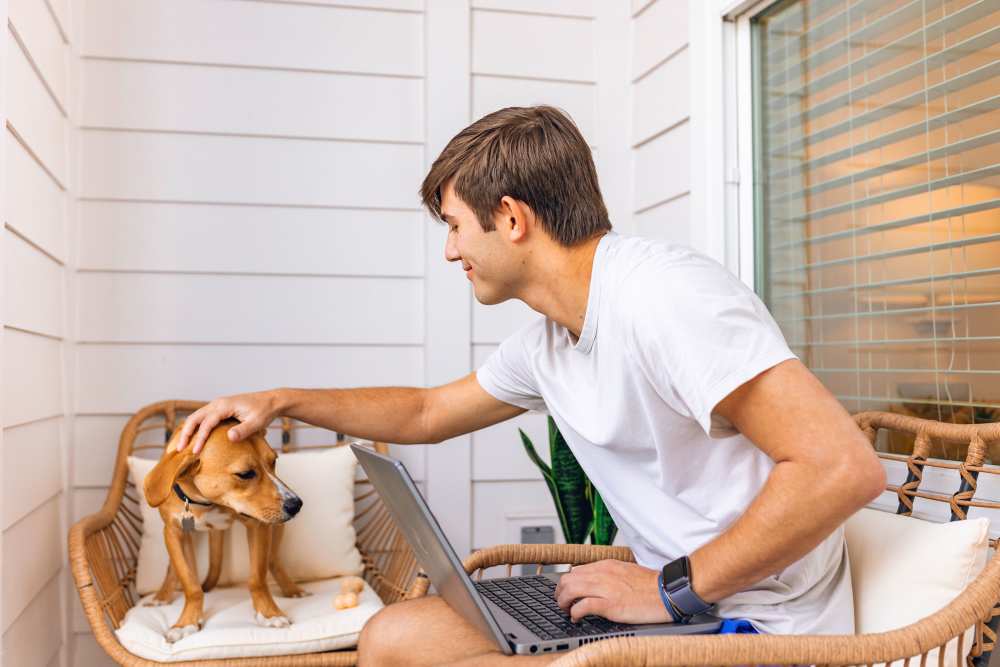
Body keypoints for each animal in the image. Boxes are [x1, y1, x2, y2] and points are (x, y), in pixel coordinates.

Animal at [141, 420, 304, 644]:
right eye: (245, 474)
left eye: (274, 461)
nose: (296, 504)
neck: (208, 502)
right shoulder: (173, 533)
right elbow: (191, 585)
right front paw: (187, 622)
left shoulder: (258, 526)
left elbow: (258, 579)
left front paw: (269, 614)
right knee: (173, 569)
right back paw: (162, 595)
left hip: (277, 526)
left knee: (273, 559)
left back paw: (291, 589)